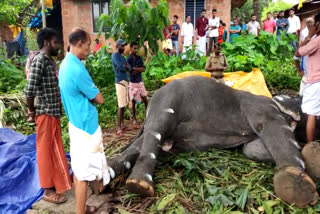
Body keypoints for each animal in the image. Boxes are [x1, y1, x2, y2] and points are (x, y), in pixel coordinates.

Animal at [103, 76, 320, 208]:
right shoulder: (262, 108)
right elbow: (273, 129)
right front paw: (296, 183)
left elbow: (252, 149)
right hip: (166, 103)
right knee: (155, 132)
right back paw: (139, 185)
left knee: (138, 146)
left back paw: (101, 181)